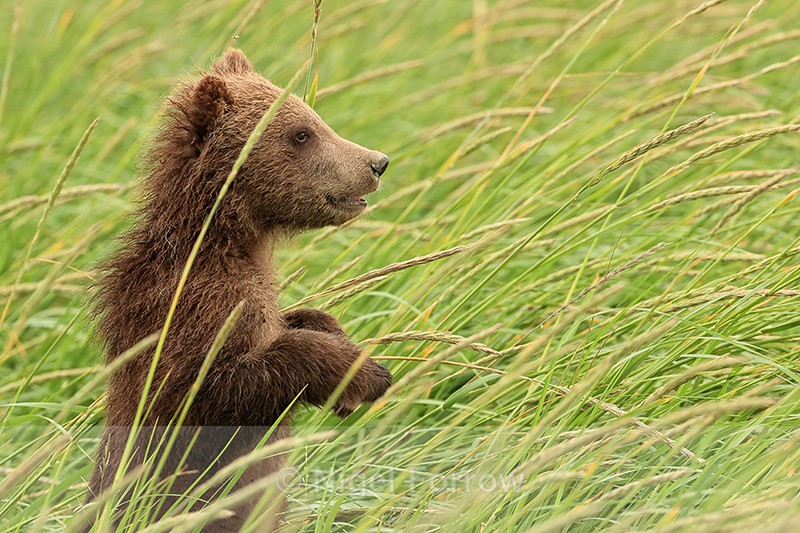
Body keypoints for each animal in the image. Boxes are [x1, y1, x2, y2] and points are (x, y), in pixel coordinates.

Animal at [85, 48, 393, 531]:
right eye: (302, 133)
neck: (228, 241)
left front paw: (335, 334)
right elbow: (213, 389)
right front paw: (363, 374)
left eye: (314, 119)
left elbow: (292, 321)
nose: (377, 162)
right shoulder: (188, 308)